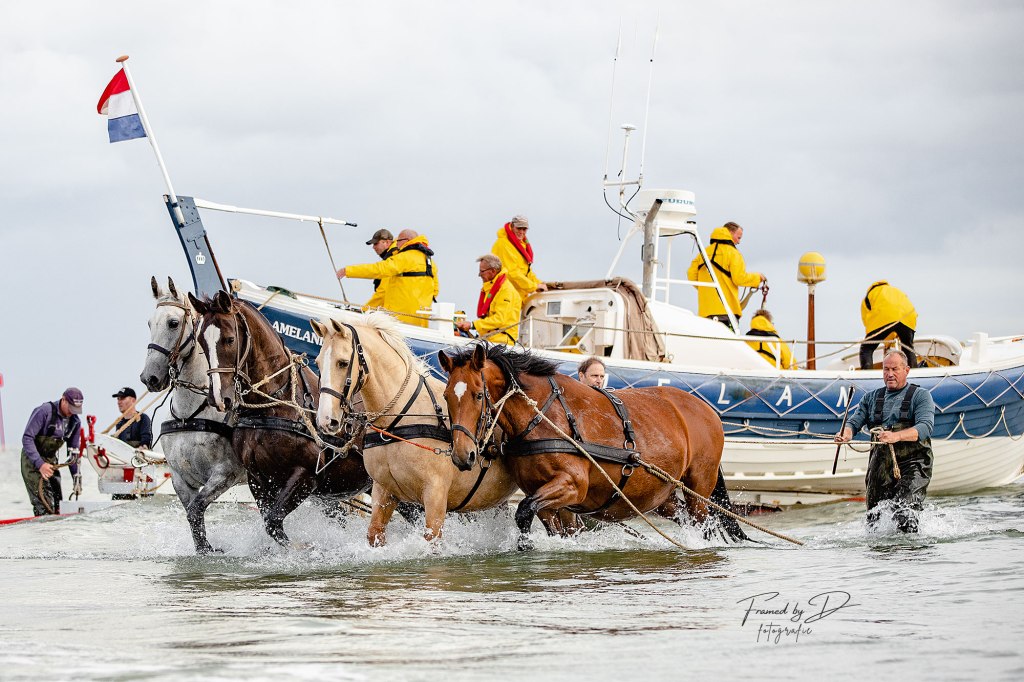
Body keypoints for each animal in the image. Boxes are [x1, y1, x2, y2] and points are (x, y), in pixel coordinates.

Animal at [140, 277, 245, 554]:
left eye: (173, 323)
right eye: (149, 323)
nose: (149, 378)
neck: (192, 413)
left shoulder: (224, 474)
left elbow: (196, 511)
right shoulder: (180, 479)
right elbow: (193, 518)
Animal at [188, 290, 372, 546]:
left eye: (229, 339)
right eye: (202, 342)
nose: (218, 398)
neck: (275, 405)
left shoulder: (305, 477)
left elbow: (273, 523)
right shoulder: (259, 480)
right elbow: (269, 521)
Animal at [312, 313, 519, 545]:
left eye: (343, 363)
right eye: (317, 362)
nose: (325, 420)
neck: (399, 420)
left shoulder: (435, 495)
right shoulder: (383, 491)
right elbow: (374, 533)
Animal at [438, 342, 747, 548]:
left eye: (479, 395)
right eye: (446, 395)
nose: (463, 455)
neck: (543, 416)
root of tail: (707, 410)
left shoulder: (573, 484)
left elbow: (524, 510)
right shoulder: (545, 497)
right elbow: (545, 522)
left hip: (699, 486)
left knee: (701, 522)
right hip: (661, 494)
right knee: (681, 515)